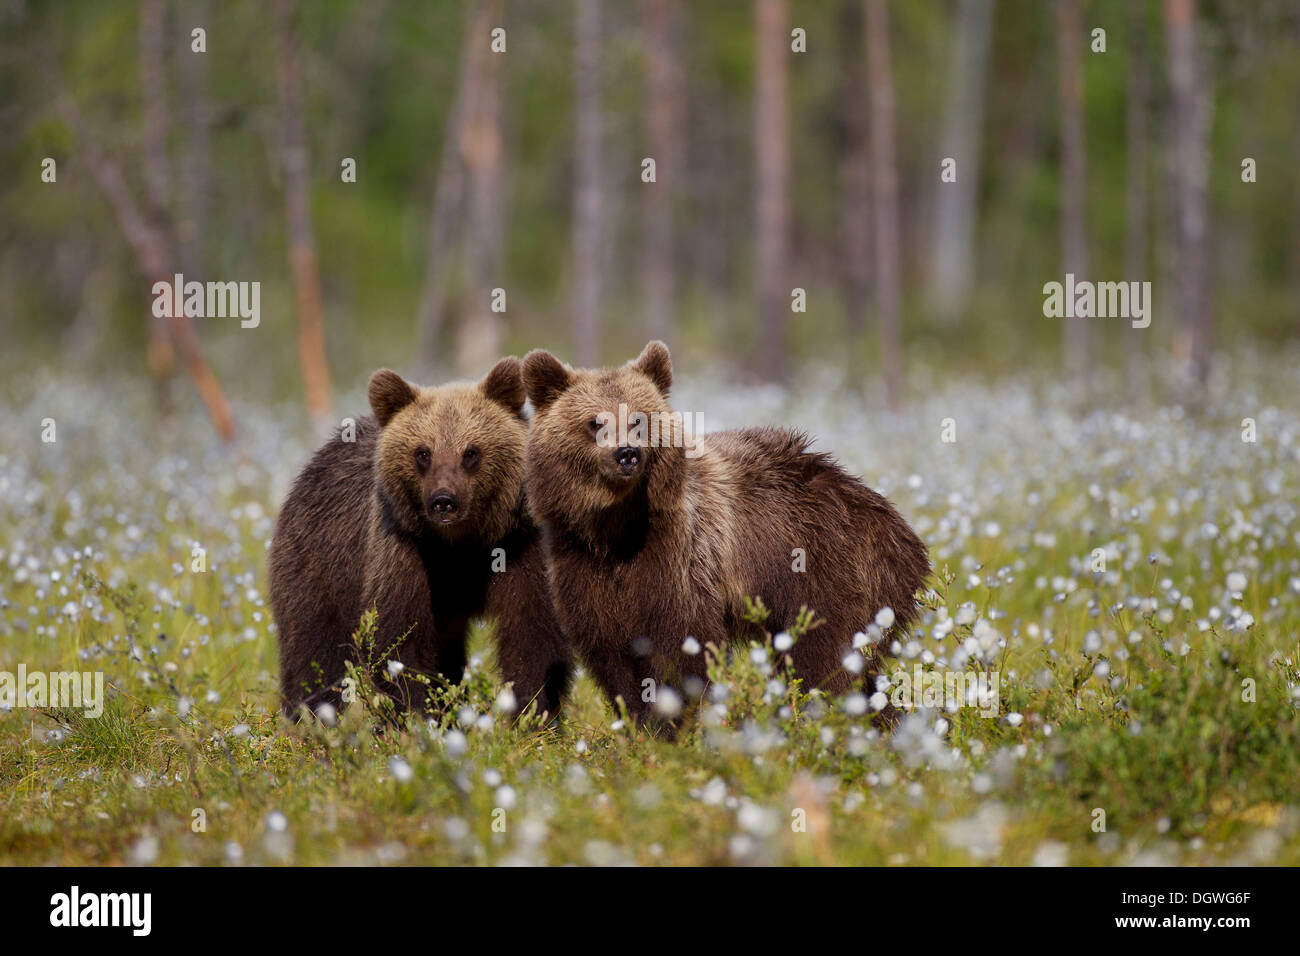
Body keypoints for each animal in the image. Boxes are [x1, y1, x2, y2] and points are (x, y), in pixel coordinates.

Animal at [269, 358, 569, 717]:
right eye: (423, 452)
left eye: (471, 452)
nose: (443, 500)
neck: (460, 544)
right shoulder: (403, 549)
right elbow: (401, 639)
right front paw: (416, 714)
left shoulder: (519, 543)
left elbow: (533, 633)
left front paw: (531, 712)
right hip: (320, 561)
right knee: (313, 648)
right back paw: (310, 717)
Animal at [517, 343, 925, 723]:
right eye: (594, 422)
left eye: (638, 419)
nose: (626, 454)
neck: (615, 530)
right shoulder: (580, 563)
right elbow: (611, 654)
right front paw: (637, 723)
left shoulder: (680, 556)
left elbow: (680, 647)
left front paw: (668, 726)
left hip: (830, 573)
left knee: (827, 662)